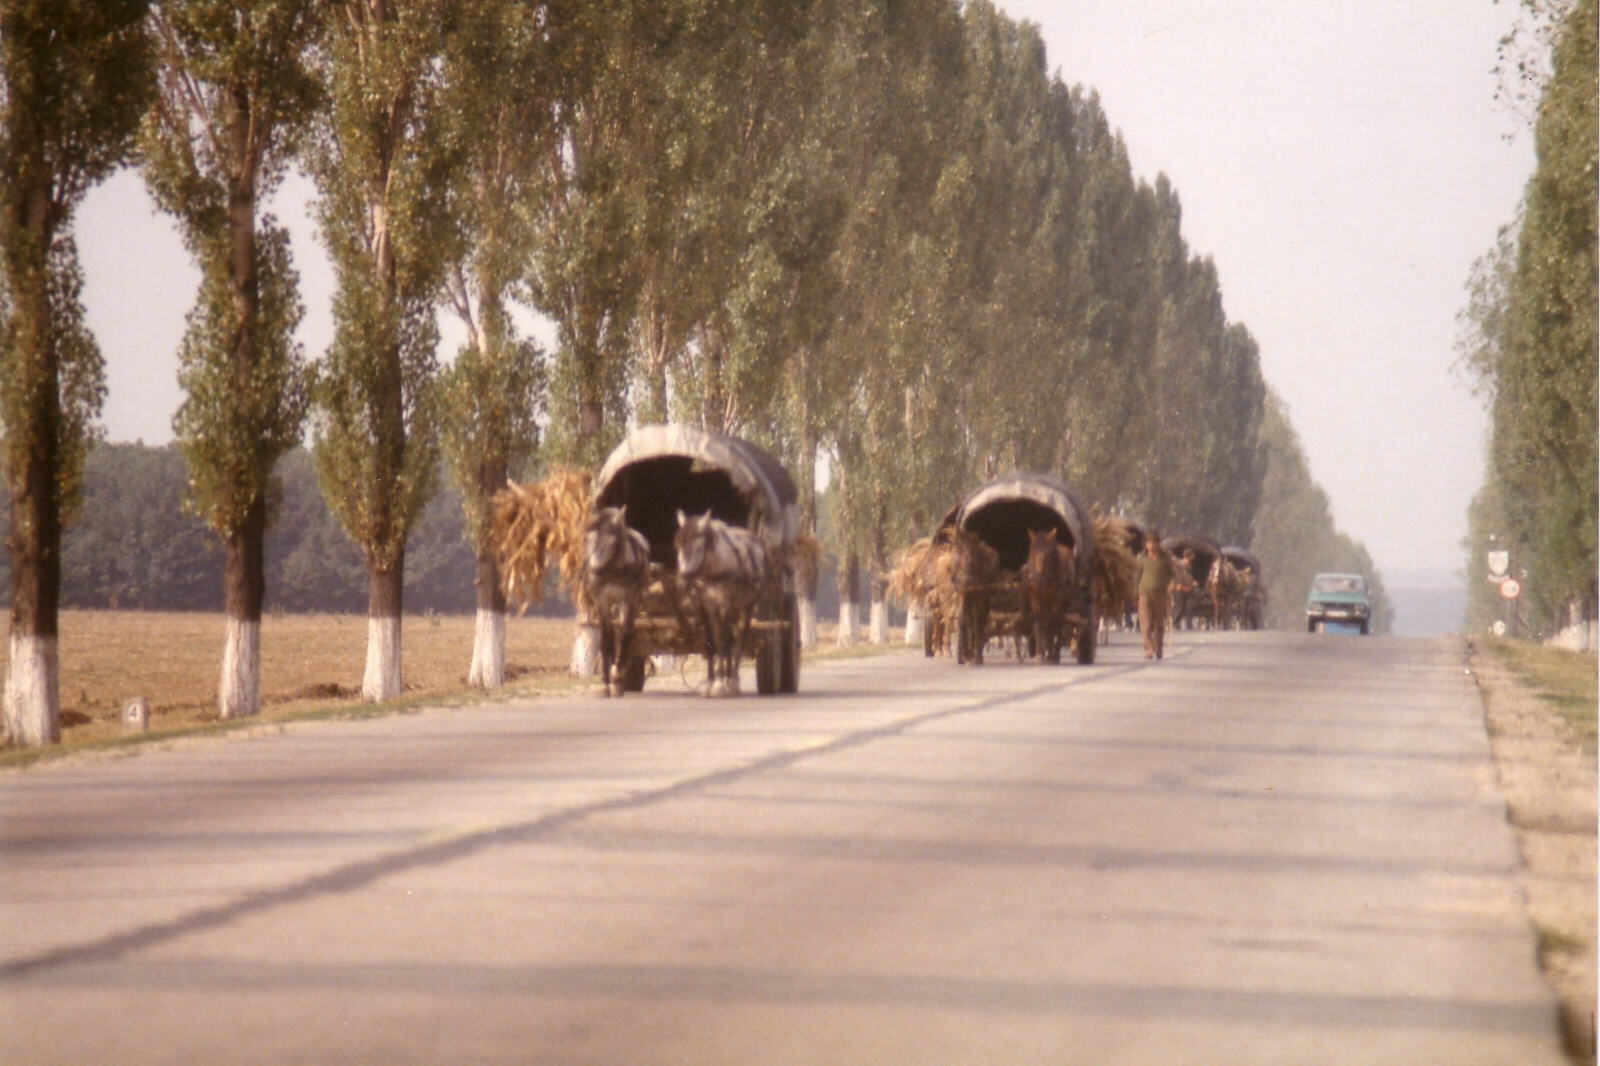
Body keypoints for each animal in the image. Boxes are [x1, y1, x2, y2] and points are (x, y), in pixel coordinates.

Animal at [582, 505, 649, 697]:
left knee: (626, 631)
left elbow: (625, 634)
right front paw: (606, 684)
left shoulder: (627, 599)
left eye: (612, 542)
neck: (615, 567)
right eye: (587, 539)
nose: (594, 571)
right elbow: (606, 638)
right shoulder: (602, 601)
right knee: (613, 634)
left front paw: (617, 673)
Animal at [675, 508, 768, 694]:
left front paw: (719, 682)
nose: (682, 581)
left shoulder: (726, 606)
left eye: (698, 547)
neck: (714, 571)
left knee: (737, 639)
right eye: (679, 545)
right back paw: (727, 677)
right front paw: (711, 681)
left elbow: (724, 642)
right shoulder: (705, 607)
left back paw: (732, 680)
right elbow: (712, 641)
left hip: (745, 607)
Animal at [1024, 528, 1075, 659]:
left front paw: (1051, 653)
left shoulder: (1056, 600)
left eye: (1050, 553)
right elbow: (1039, 622)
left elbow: (1053, 623)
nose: (1038, 577)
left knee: (1060, 623)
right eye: (1032, 551)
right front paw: (1040, 653)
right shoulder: (1036, 599)